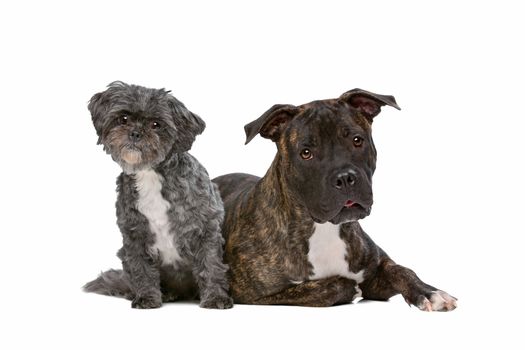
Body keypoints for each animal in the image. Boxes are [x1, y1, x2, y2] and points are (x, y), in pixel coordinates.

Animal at [83, 81, 231, 308]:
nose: (135, 133)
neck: (150, 174)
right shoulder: (134, 236)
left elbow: (211, 264)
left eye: (156, 124)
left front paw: (216, 297)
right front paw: (147, 297)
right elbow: (142, 270)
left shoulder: (205, 228)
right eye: (123, 118)